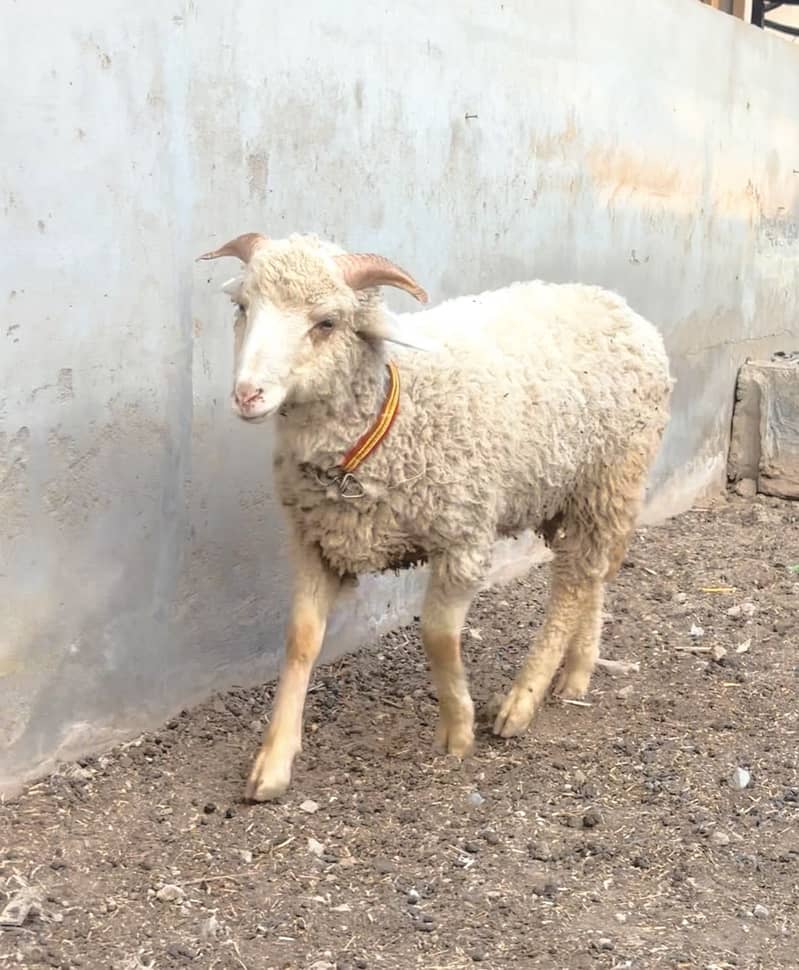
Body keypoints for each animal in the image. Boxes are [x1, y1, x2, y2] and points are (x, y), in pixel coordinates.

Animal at [198, 231, 673, 802]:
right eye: (244, 307)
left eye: (326, 322)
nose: (248, 395)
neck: (386, 418)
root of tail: (620, 306)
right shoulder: (315, 541)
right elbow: (301, 641)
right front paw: (273, 761)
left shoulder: (464, 538)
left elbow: (439, 635)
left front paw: (458, 730)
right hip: (572, 494)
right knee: (593, 575)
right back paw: (576, 673)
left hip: (611, 475)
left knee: (572, 584)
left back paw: (522, 699)